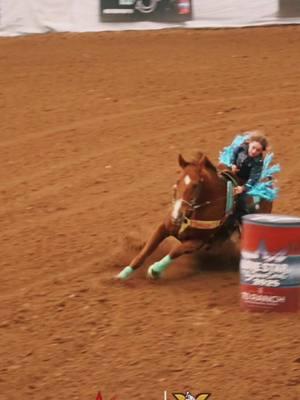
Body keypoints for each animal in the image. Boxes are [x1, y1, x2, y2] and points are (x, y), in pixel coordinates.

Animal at [115, 152, 272, 280]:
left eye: (196, 185)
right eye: (177, 181)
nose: (177, 215)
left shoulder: (197, 242)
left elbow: (175, 251)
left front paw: (155, 270)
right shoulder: (163, 227)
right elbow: (145, 251)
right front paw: (122, 274)